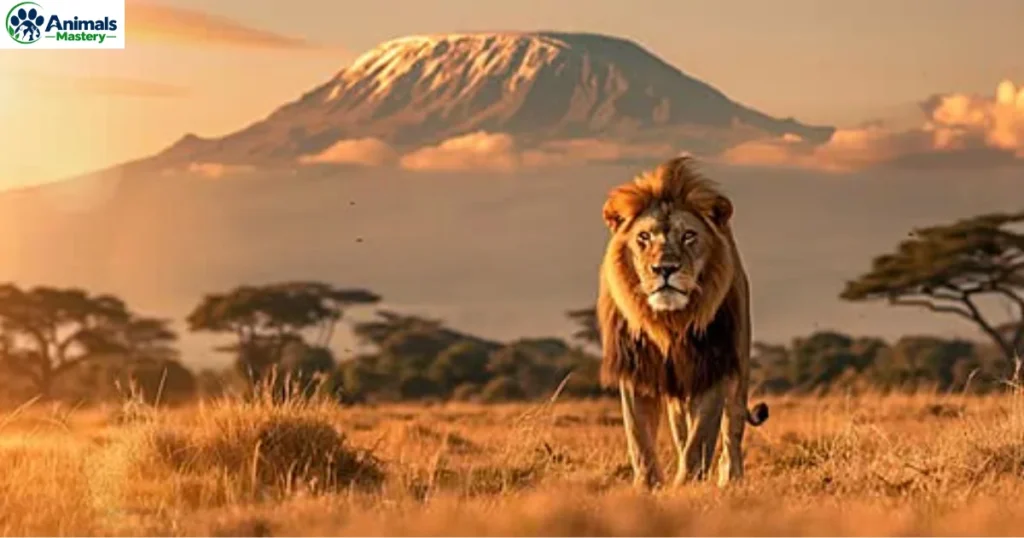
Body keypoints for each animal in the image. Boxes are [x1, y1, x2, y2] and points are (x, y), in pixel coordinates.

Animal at [597, 156, 768, 489]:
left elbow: (701, 438)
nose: (665, 268)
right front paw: (647, 486)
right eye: (643, 237)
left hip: (738, 369)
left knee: (732, 428)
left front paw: (687, 486)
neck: (670, 322)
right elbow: (640, 440)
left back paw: (731, 478)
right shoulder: (637, 372)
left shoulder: (713, 366)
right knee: (680, 430)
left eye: (689, 235)